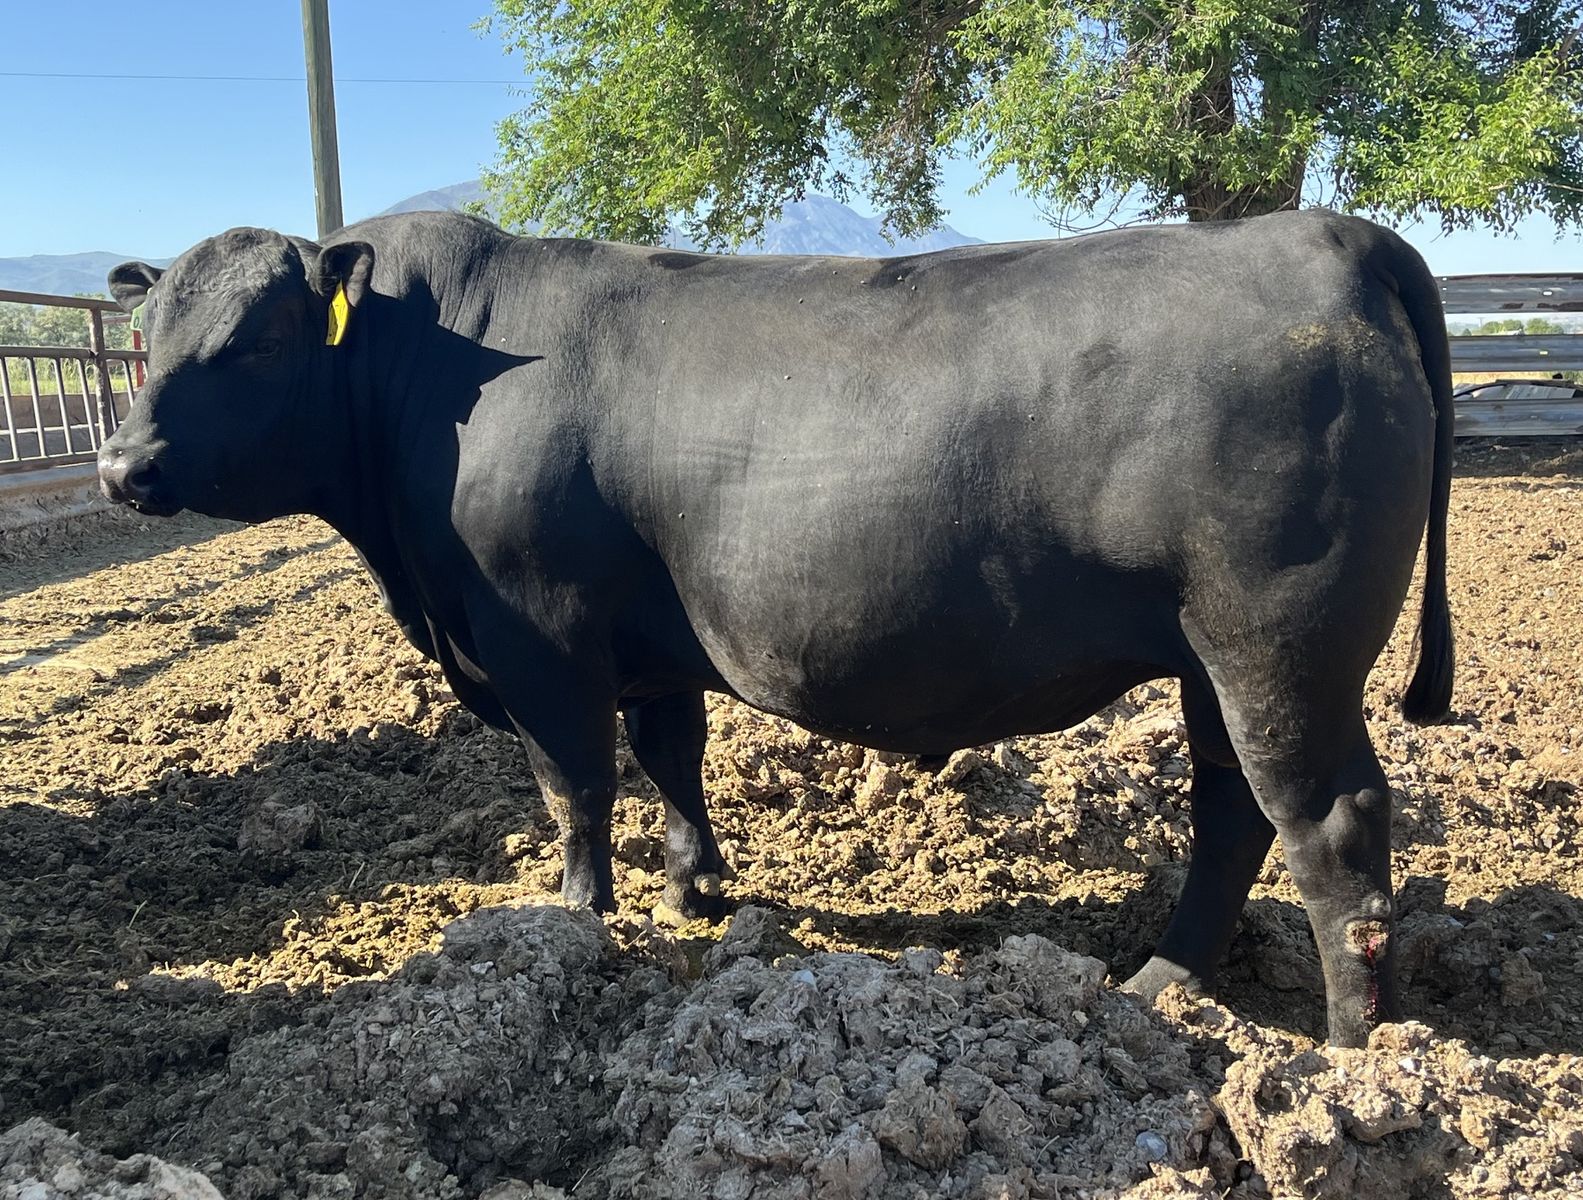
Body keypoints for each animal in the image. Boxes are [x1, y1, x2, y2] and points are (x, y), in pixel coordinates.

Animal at [98, 209, 1453, 1047]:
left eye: (259, 338)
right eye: (144, 335)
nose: (122, 465)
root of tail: (1326, 231)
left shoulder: (538, 638)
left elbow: (574, 785)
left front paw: (577, 916)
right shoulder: (648, 643)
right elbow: (671, 760)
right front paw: (695, 889)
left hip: (1275, 649)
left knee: (1325, 826)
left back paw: (1346, 1046)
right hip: (1208, 663)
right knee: (1229, 812)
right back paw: (1162, 981)